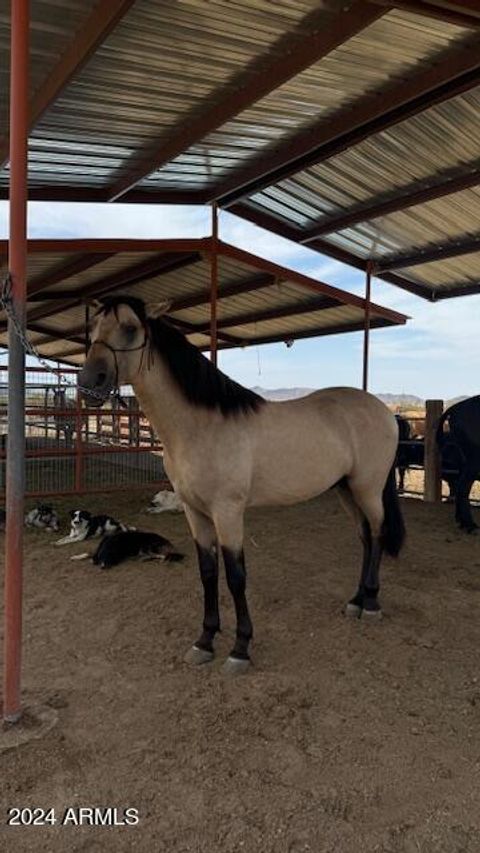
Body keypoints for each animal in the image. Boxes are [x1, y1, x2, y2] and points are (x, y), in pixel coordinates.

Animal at [78, 298, 404, 672]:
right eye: (92, 329)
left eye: (130, 328)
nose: (88, 382)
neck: (200, 427)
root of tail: (385, 411)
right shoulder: (194, 511)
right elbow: (208, 572)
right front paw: (204, 641)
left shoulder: (228, 511)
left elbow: (236, 576)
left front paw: (240, 648)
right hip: (346, 490)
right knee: (365, 537)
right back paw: (355, 600)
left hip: (368, 489)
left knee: (377, 534)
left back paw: (372, 604)